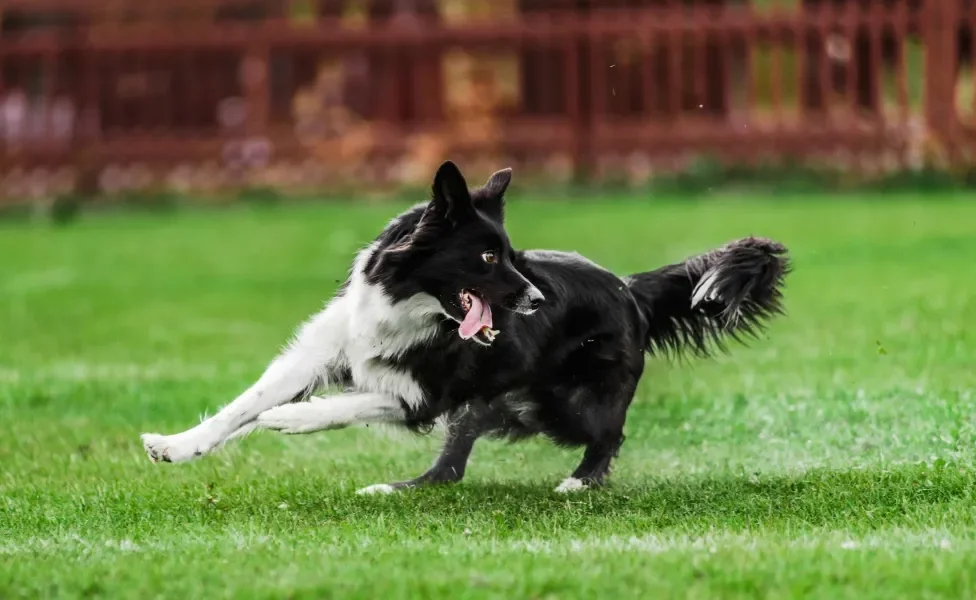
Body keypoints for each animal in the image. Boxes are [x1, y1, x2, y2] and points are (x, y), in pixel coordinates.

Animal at [141, 159, 788, 492]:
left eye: (512, 255)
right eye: (486, 256)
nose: (535, 299)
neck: (408, 305)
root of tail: (629, 289)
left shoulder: (426, 395)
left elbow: (346, 404)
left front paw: (292, 419)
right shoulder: (322, 354)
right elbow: (243, 404)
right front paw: (176, 445)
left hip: (564, 405)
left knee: (608, 434)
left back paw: (580, 483)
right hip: (494, 404)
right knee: (450, 467)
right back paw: (402, 489)